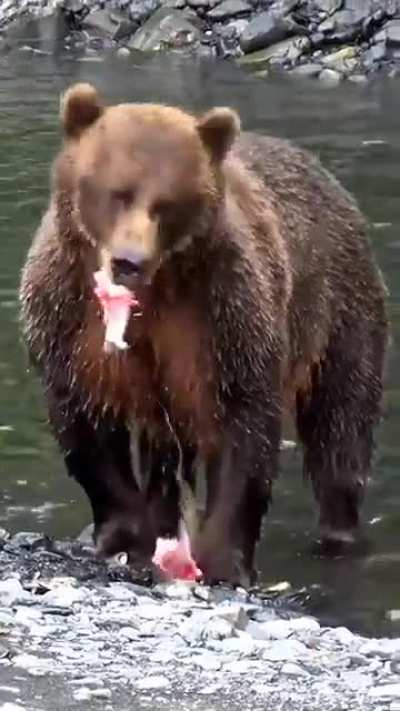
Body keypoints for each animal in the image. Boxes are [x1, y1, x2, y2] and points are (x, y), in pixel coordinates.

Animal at [19, 82, 389, 586]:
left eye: (167, 204)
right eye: (117, 192)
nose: (129, 262)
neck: (153, 297)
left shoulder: (222, 317)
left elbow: (244, 429)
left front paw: (223, 561)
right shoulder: (69, 319)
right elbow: (87, 423)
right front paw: (123, 537)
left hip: (340, 307)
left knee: (341, 425)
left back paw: (339, 531)